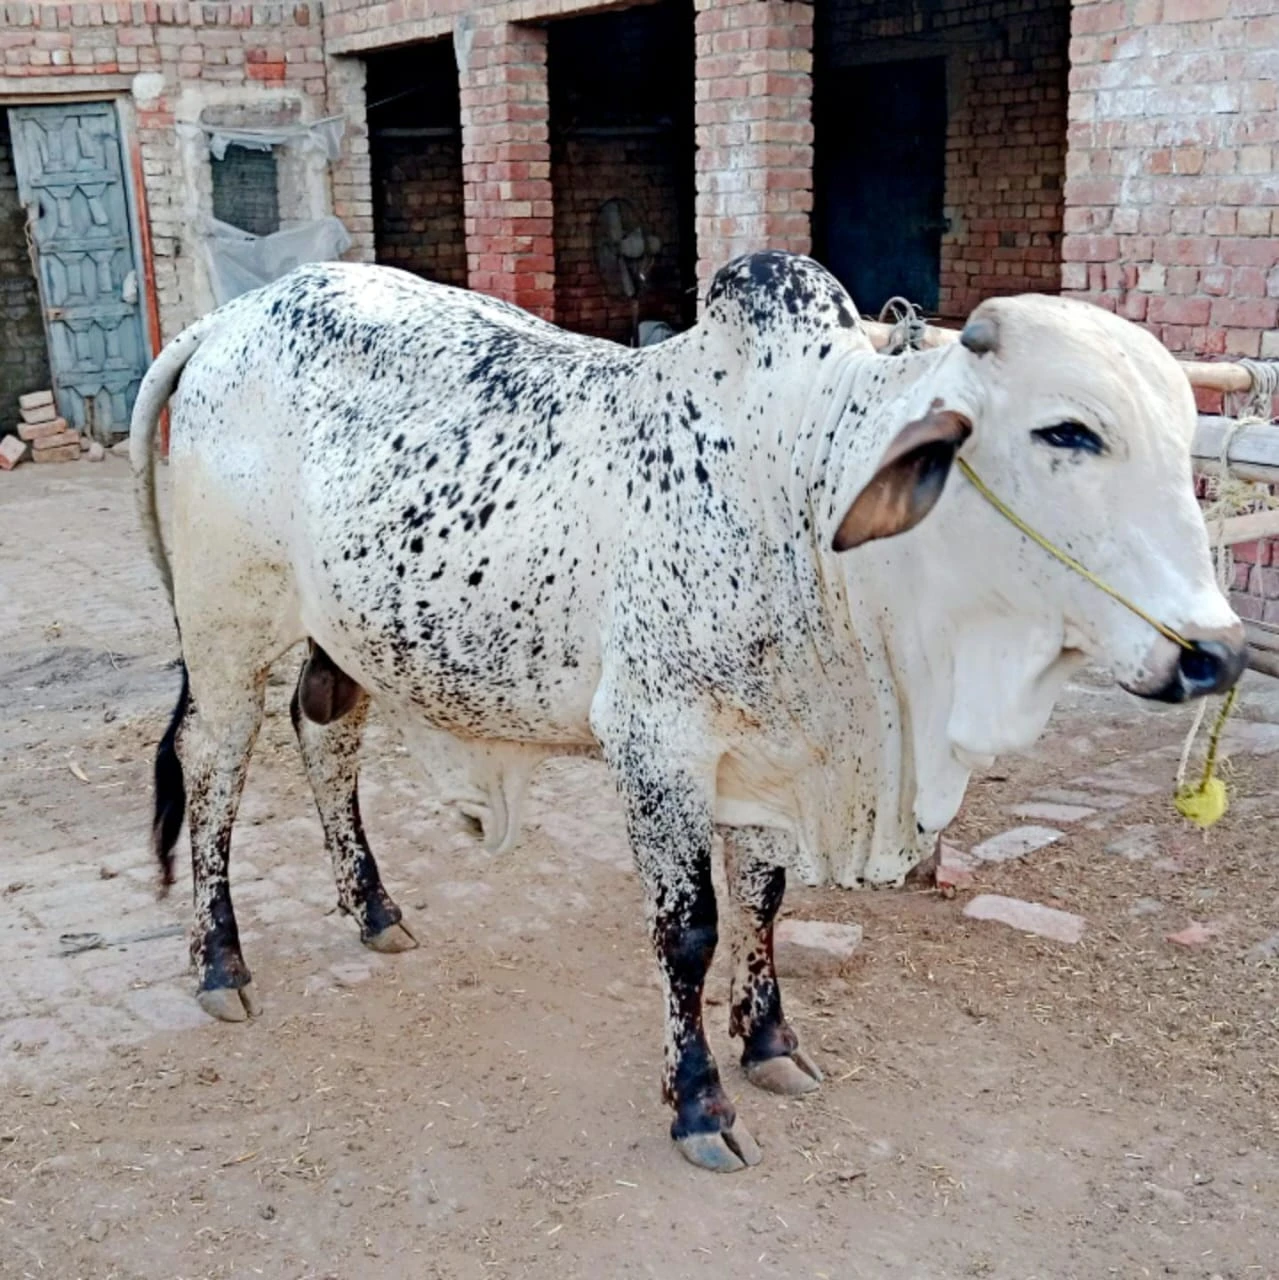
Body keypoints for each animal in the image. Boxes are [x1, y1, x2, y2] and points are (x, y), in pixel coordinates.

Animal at [135, 249, 1244, 1172]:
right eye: (1069, 431)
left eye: (1182, 441)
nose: (1218, 653)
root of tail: (229, 317)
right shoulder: (654, 744)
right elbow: (690, 933)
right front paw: (700, 1103)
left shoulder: (769, 755)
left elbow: (762, 905)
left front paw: (771, 1042)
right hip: (230, 625)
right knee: (214, 767)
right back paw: (219, 961)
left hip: (342, 635)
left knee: (326, 739)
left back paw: (373, 908)